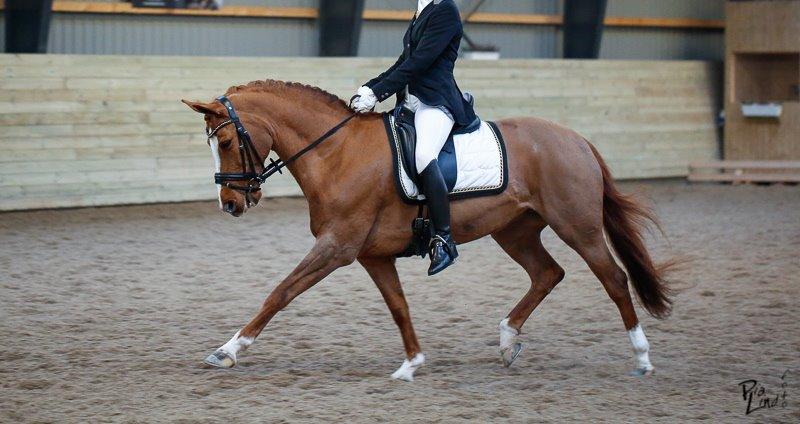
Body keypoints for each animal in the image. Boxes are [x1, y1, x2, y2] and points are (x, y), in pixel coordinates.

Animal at [182, 79, 672, 381]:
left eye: (225, 141)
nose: (230, 204)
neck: (337, 152)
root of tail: (575, 138)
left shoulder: (337, 247)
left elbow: (280, 293)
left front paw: (228, 350)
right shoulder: (371, 254)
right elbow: (399, 306)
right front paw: (412, 364)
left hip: (577, 227)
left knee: (614, 279)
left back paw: (643, 358)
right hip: (514, 232)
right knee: (547, 274)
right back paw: (507, 341)